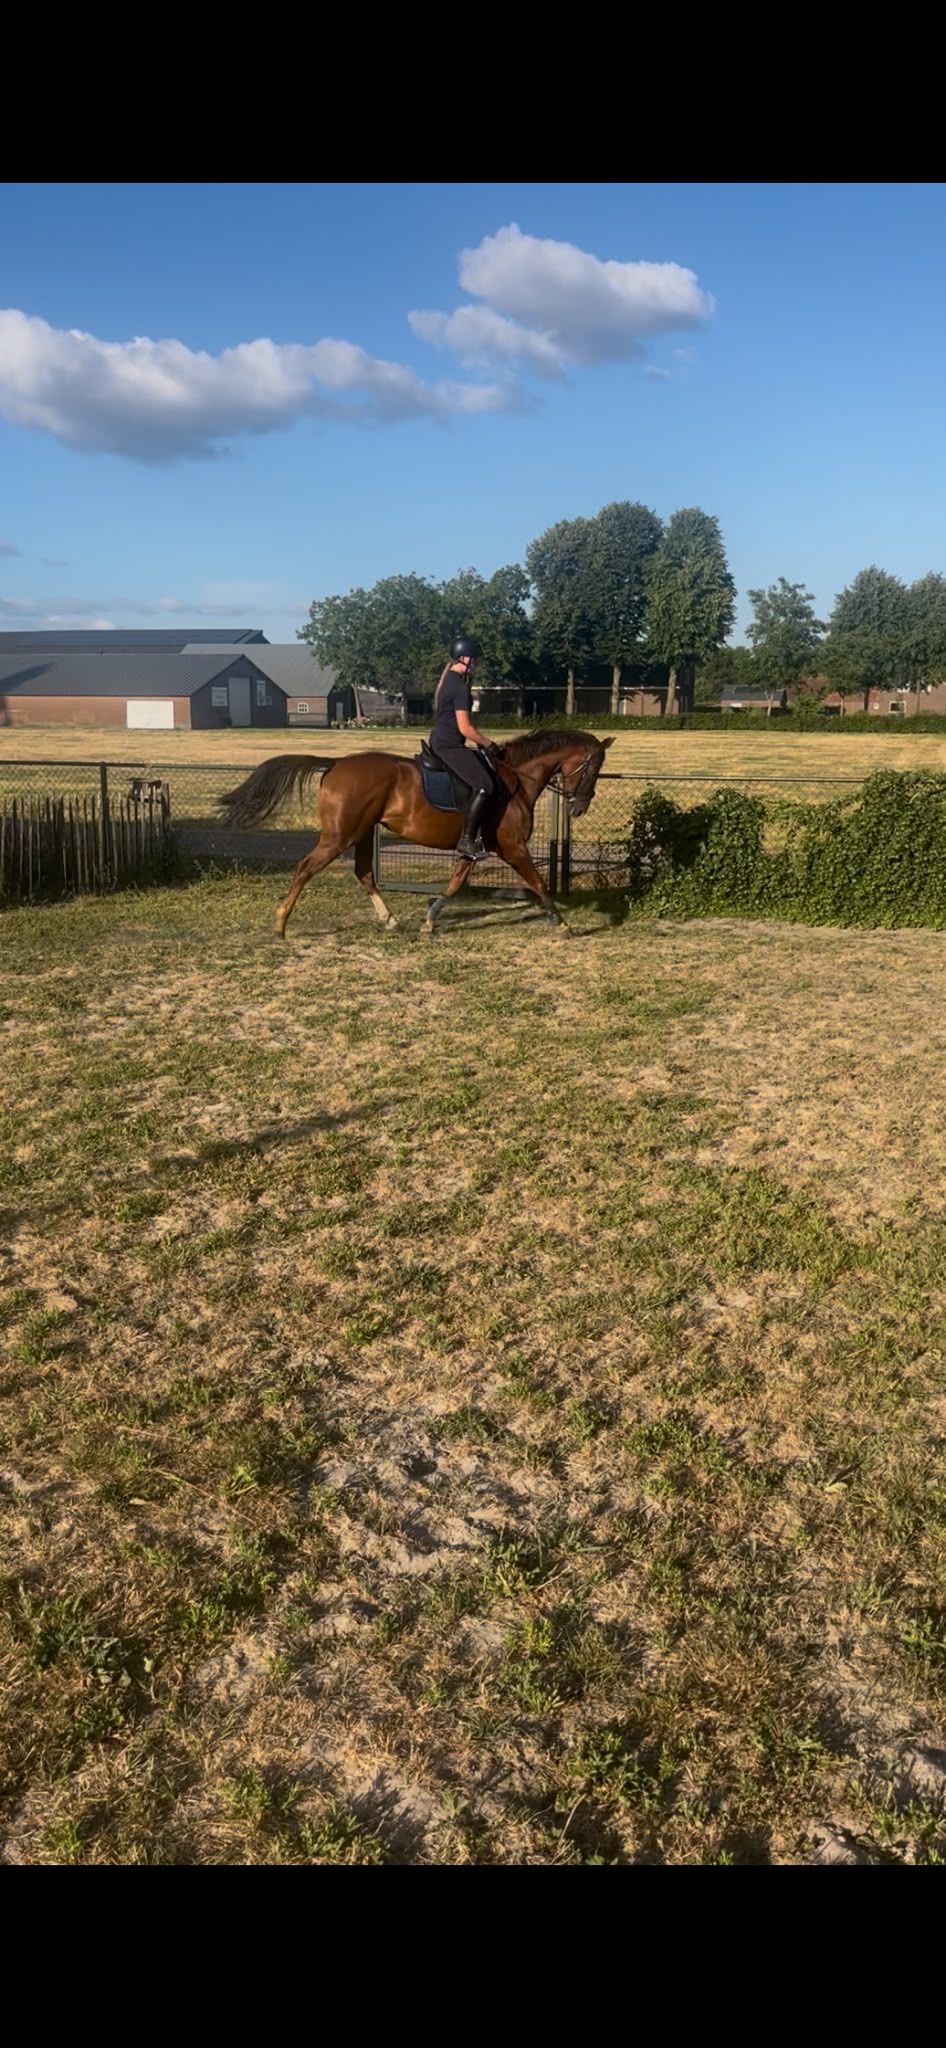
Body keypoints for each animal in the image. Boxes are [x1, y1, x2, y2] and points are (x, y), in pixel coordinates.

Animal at [217, 727, 614, 937]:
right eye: (593, 768)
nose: (580, 807)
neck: (515, 780)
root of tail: (337, 763)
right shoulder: (513, 847)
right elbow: (538, 882)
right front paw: (561, 923)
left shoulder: (473, 848)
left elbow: (455, 882)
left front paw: (429, 918)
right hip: (338, 837)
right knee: (304, 868)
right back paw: (281, 922)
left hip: (362, 833)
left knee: (364, 874)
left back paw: (390, 919)